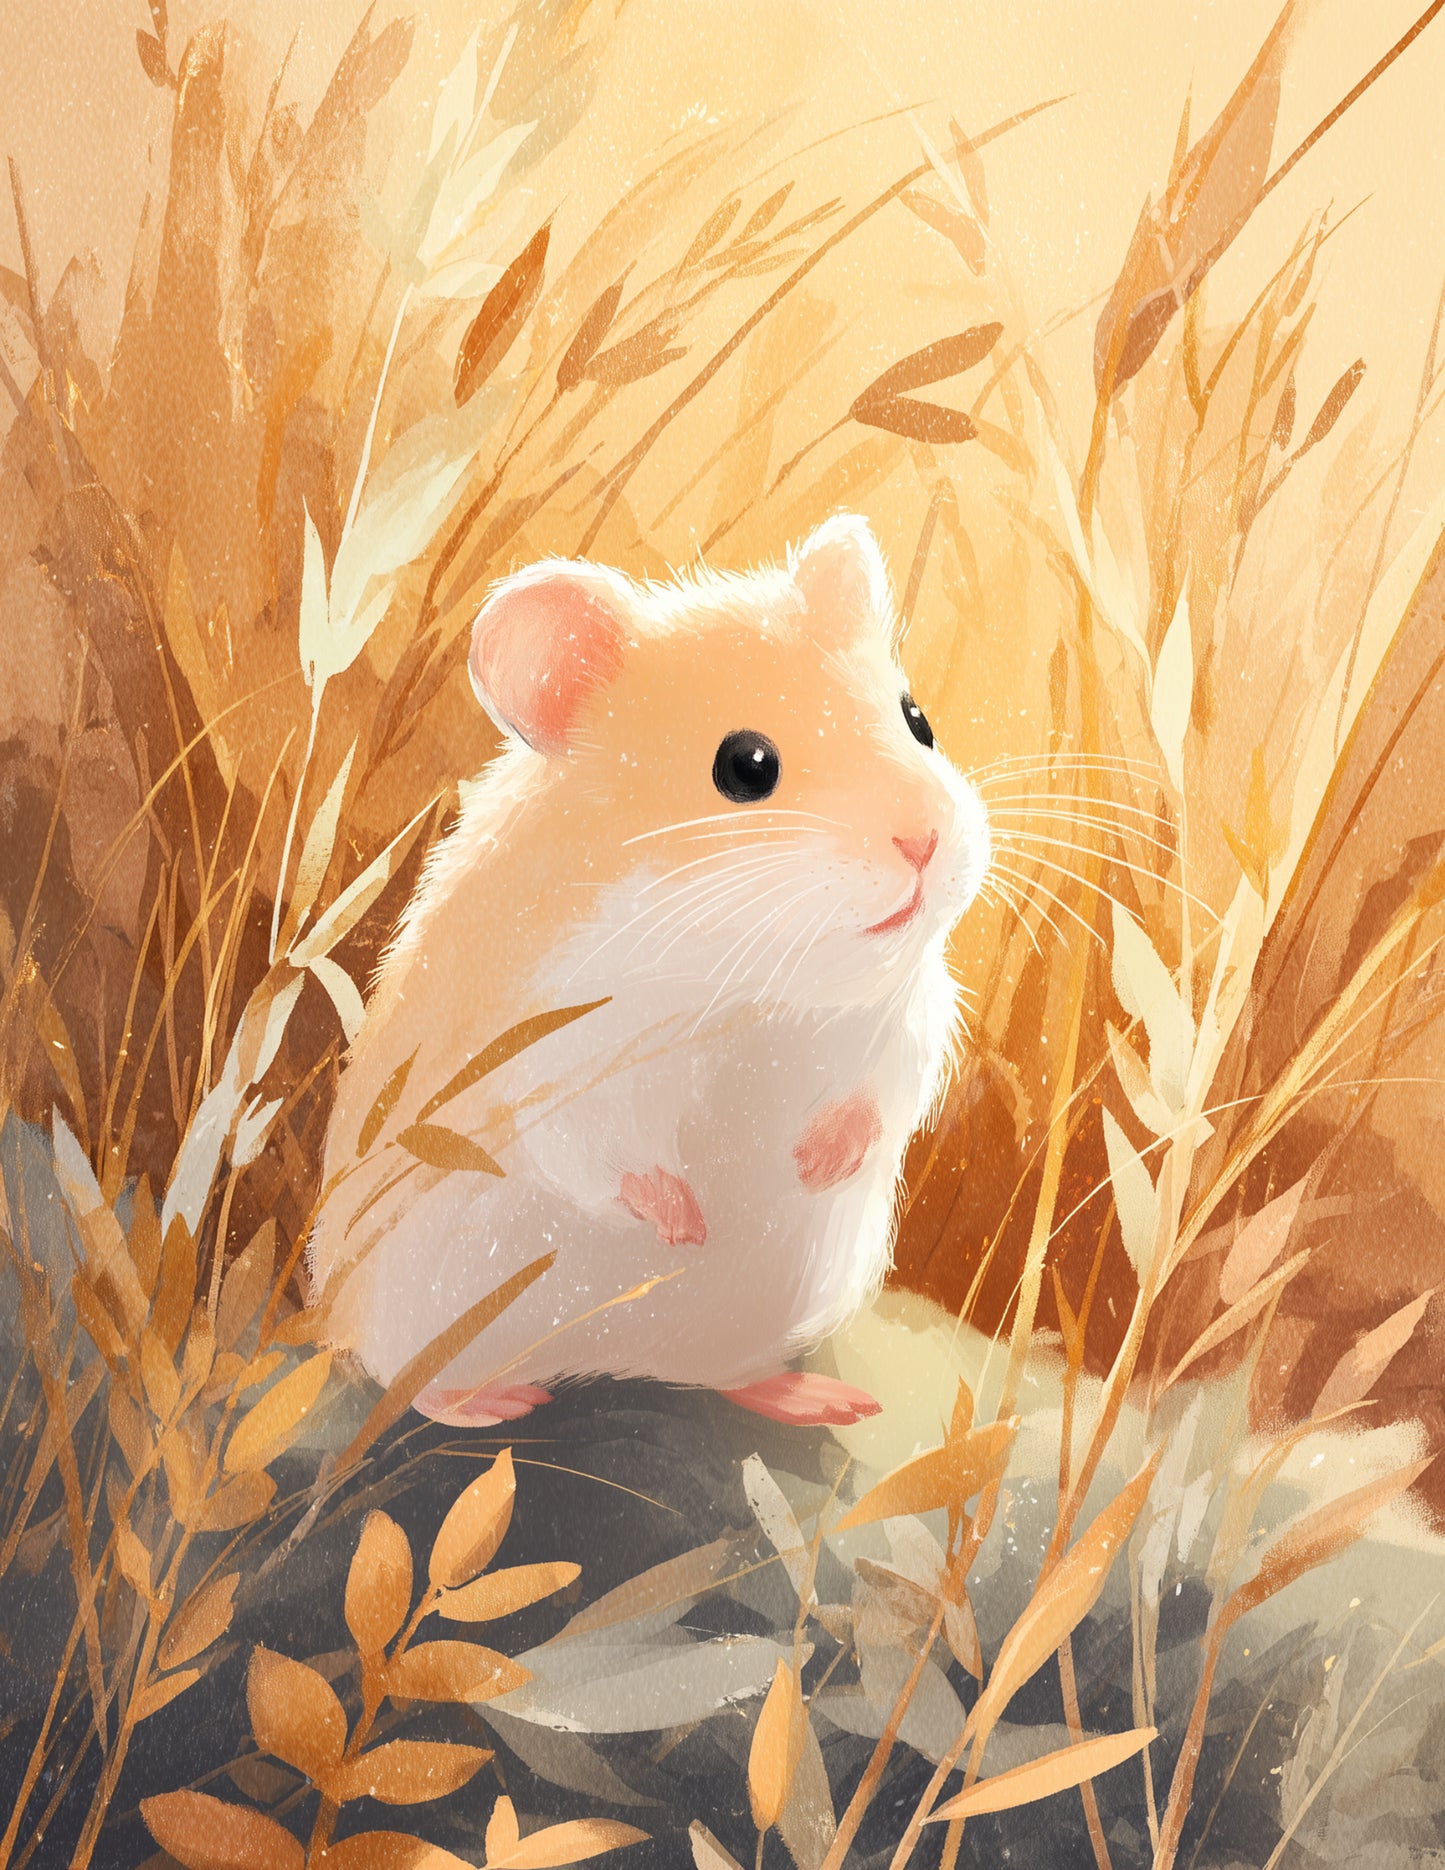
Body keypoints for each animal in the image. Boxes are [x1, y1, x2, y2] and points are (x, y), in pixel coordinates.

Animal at [307, 515, 990, 1427]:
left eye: (918, 720)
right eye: (745, 765)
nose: (925, 842)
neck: (751, 967)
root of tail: (614, 1362)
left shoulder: (906, 1015)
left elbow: (884, 1096)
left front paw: (812, 1166)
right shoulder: (551, 1053)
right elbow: (600, 1145)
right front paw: (686, 1225)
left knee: (727, 1376)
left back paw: (826, 1401)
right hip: (408, 1310)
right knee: (399, 1381)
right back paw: (497, 1405)